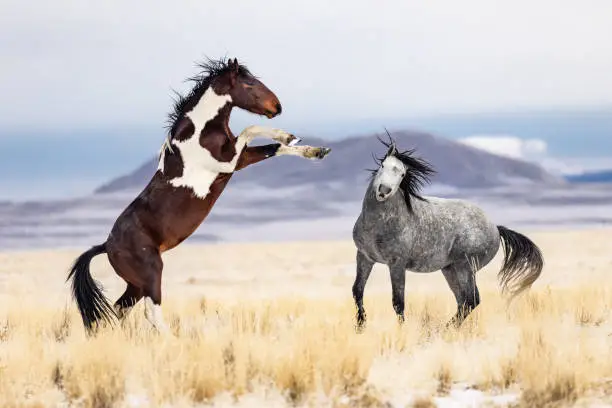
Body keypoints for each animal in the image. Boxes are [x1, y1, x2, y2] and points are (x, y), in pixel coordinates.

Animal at [68, 57, 330, 334]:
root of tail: (107, 245)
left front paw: (314, 150)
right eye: (249, 84)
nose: (277, 107)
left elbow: (275, 148)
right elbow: (251, 129)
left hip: (135, 284)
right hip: (151, 273)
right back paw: (173, 339)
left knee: (119, 309)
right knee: (150, 311)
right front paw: (289, 136)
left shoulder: (240, 158)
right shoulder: (231, 161)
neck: (200, 133)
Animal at [352, 134, 544, 328]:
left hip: (465, 268)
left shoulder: (397, 264)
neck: (377, 224)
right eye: (383, 165)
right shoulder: (364, 257)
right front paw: (360, 325)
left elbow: (398, 301)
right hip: (450, 270)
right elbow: (357, 290)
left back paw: (444, 329)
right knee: (462, 301)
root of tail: (496, 229)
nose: (383, 191)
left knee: (471, 300)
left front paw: (401, 330)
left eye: (402, 174)